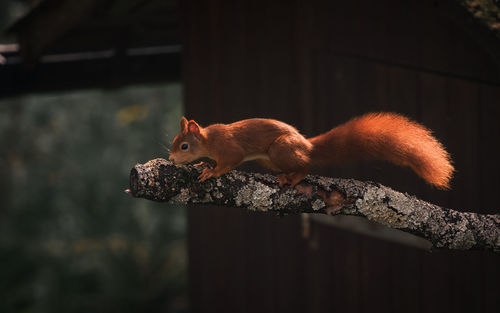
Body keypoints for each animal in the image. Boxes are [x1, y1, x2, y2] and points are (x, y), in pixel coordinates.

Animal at [170, 113, 456, 189]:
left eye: (184, 146)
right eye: (174, 142)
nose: (172, 158)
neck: (209, 140)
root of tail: (306, 144)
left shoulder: (230, 149)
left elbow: (230, 162)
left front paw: (212, 172)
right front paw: (202, 165)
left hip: (280, 149)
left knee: (306, 167)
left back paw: (293, 177)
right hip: (272, 159)